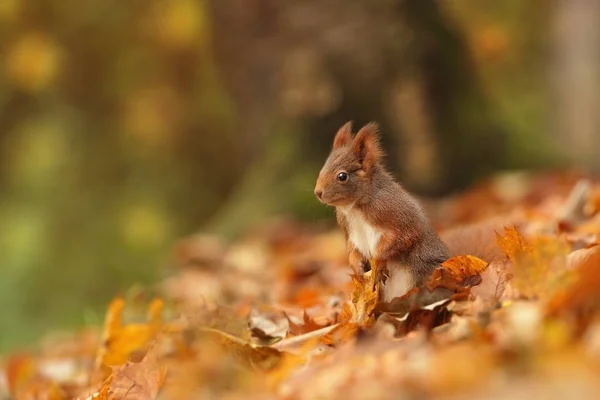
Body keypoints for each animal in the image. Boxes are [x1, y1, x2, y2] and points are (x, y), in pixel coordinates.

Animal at [314, 120, 450, 302]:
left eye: (342, 176)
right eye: (322, 169)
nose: (318, 192)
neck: (354, 208)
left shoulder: (395, 213)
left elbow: (403, 237)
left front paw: (378, 264)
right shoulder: (348, 228)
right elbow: (353, 250)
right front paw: (357, 267)